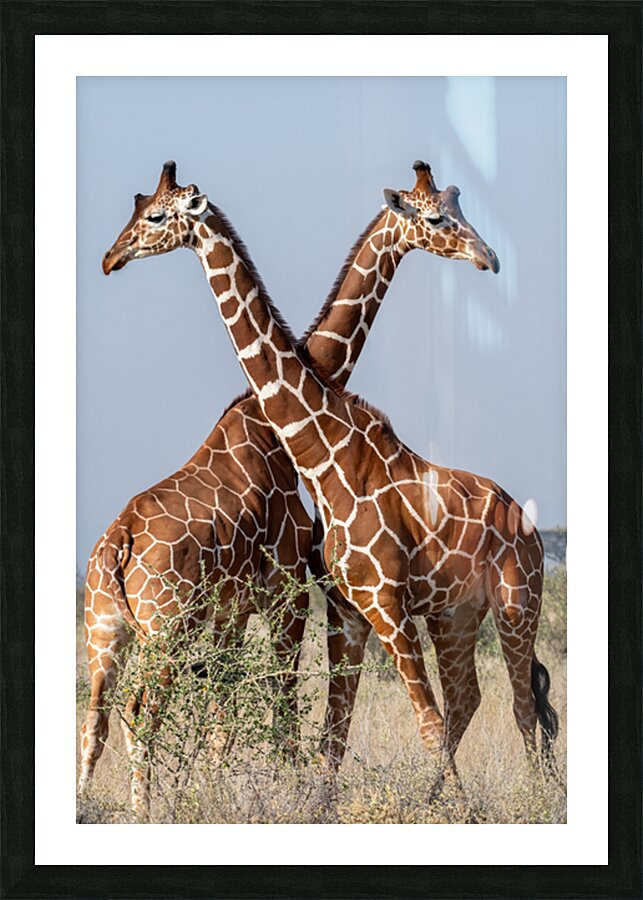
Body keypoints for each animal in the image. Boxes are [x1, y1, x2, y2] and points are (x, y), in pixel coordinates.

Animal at [101, 162, 557, 799]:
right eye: (437, 218)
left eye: (155, 214)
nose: (488, 256)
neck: (321, 455)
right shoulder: (341, 607)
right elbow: (323, 735)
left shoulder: (348, 601)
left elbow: (370, 724)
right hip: (453, 616)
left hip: (513, 603)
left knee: (517, 707)